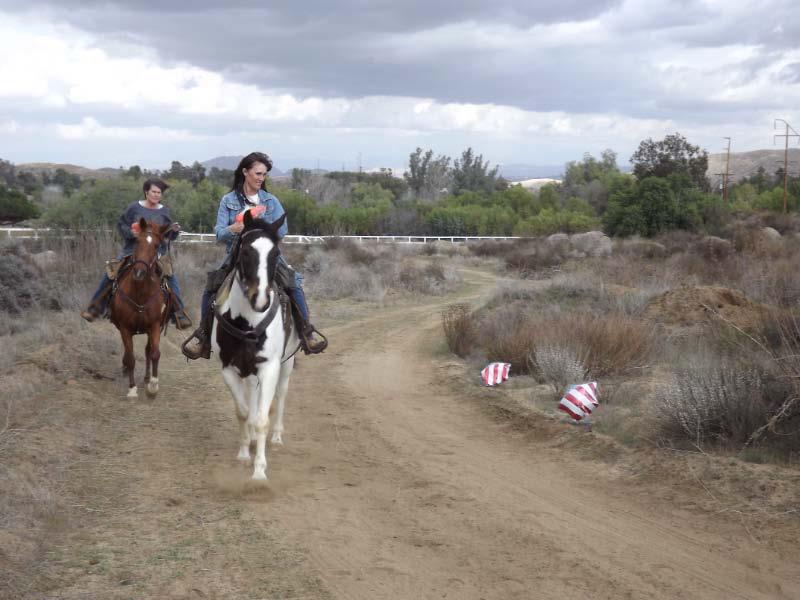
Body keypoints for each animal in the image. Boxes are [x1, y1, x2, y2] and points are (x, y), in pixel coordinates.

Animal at [109, 218, 171, 398]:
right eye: (137, 241)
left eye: (157, 245)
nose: (139, 273)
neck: (140, 293)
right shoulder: (124, 328)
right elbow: (131, 358)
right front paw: (132, 389)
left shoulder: (155, 326)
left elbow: (155, 353)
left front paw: (153, 386)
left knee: (148, 351)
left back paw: (147, 378)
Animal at [211, 210, 299, 480]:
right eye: (245, 251)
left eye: (275, 253)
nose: (260, 300)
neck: (247, 323)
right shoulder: (228, 368)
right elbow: (242, 411)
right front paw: (243, 452)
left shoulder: (270, 367)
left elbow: (262, 419)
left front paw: (259, 472)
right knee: (252, 393)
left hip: (287, 363)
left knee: (280, 395)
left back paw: (277, 437)